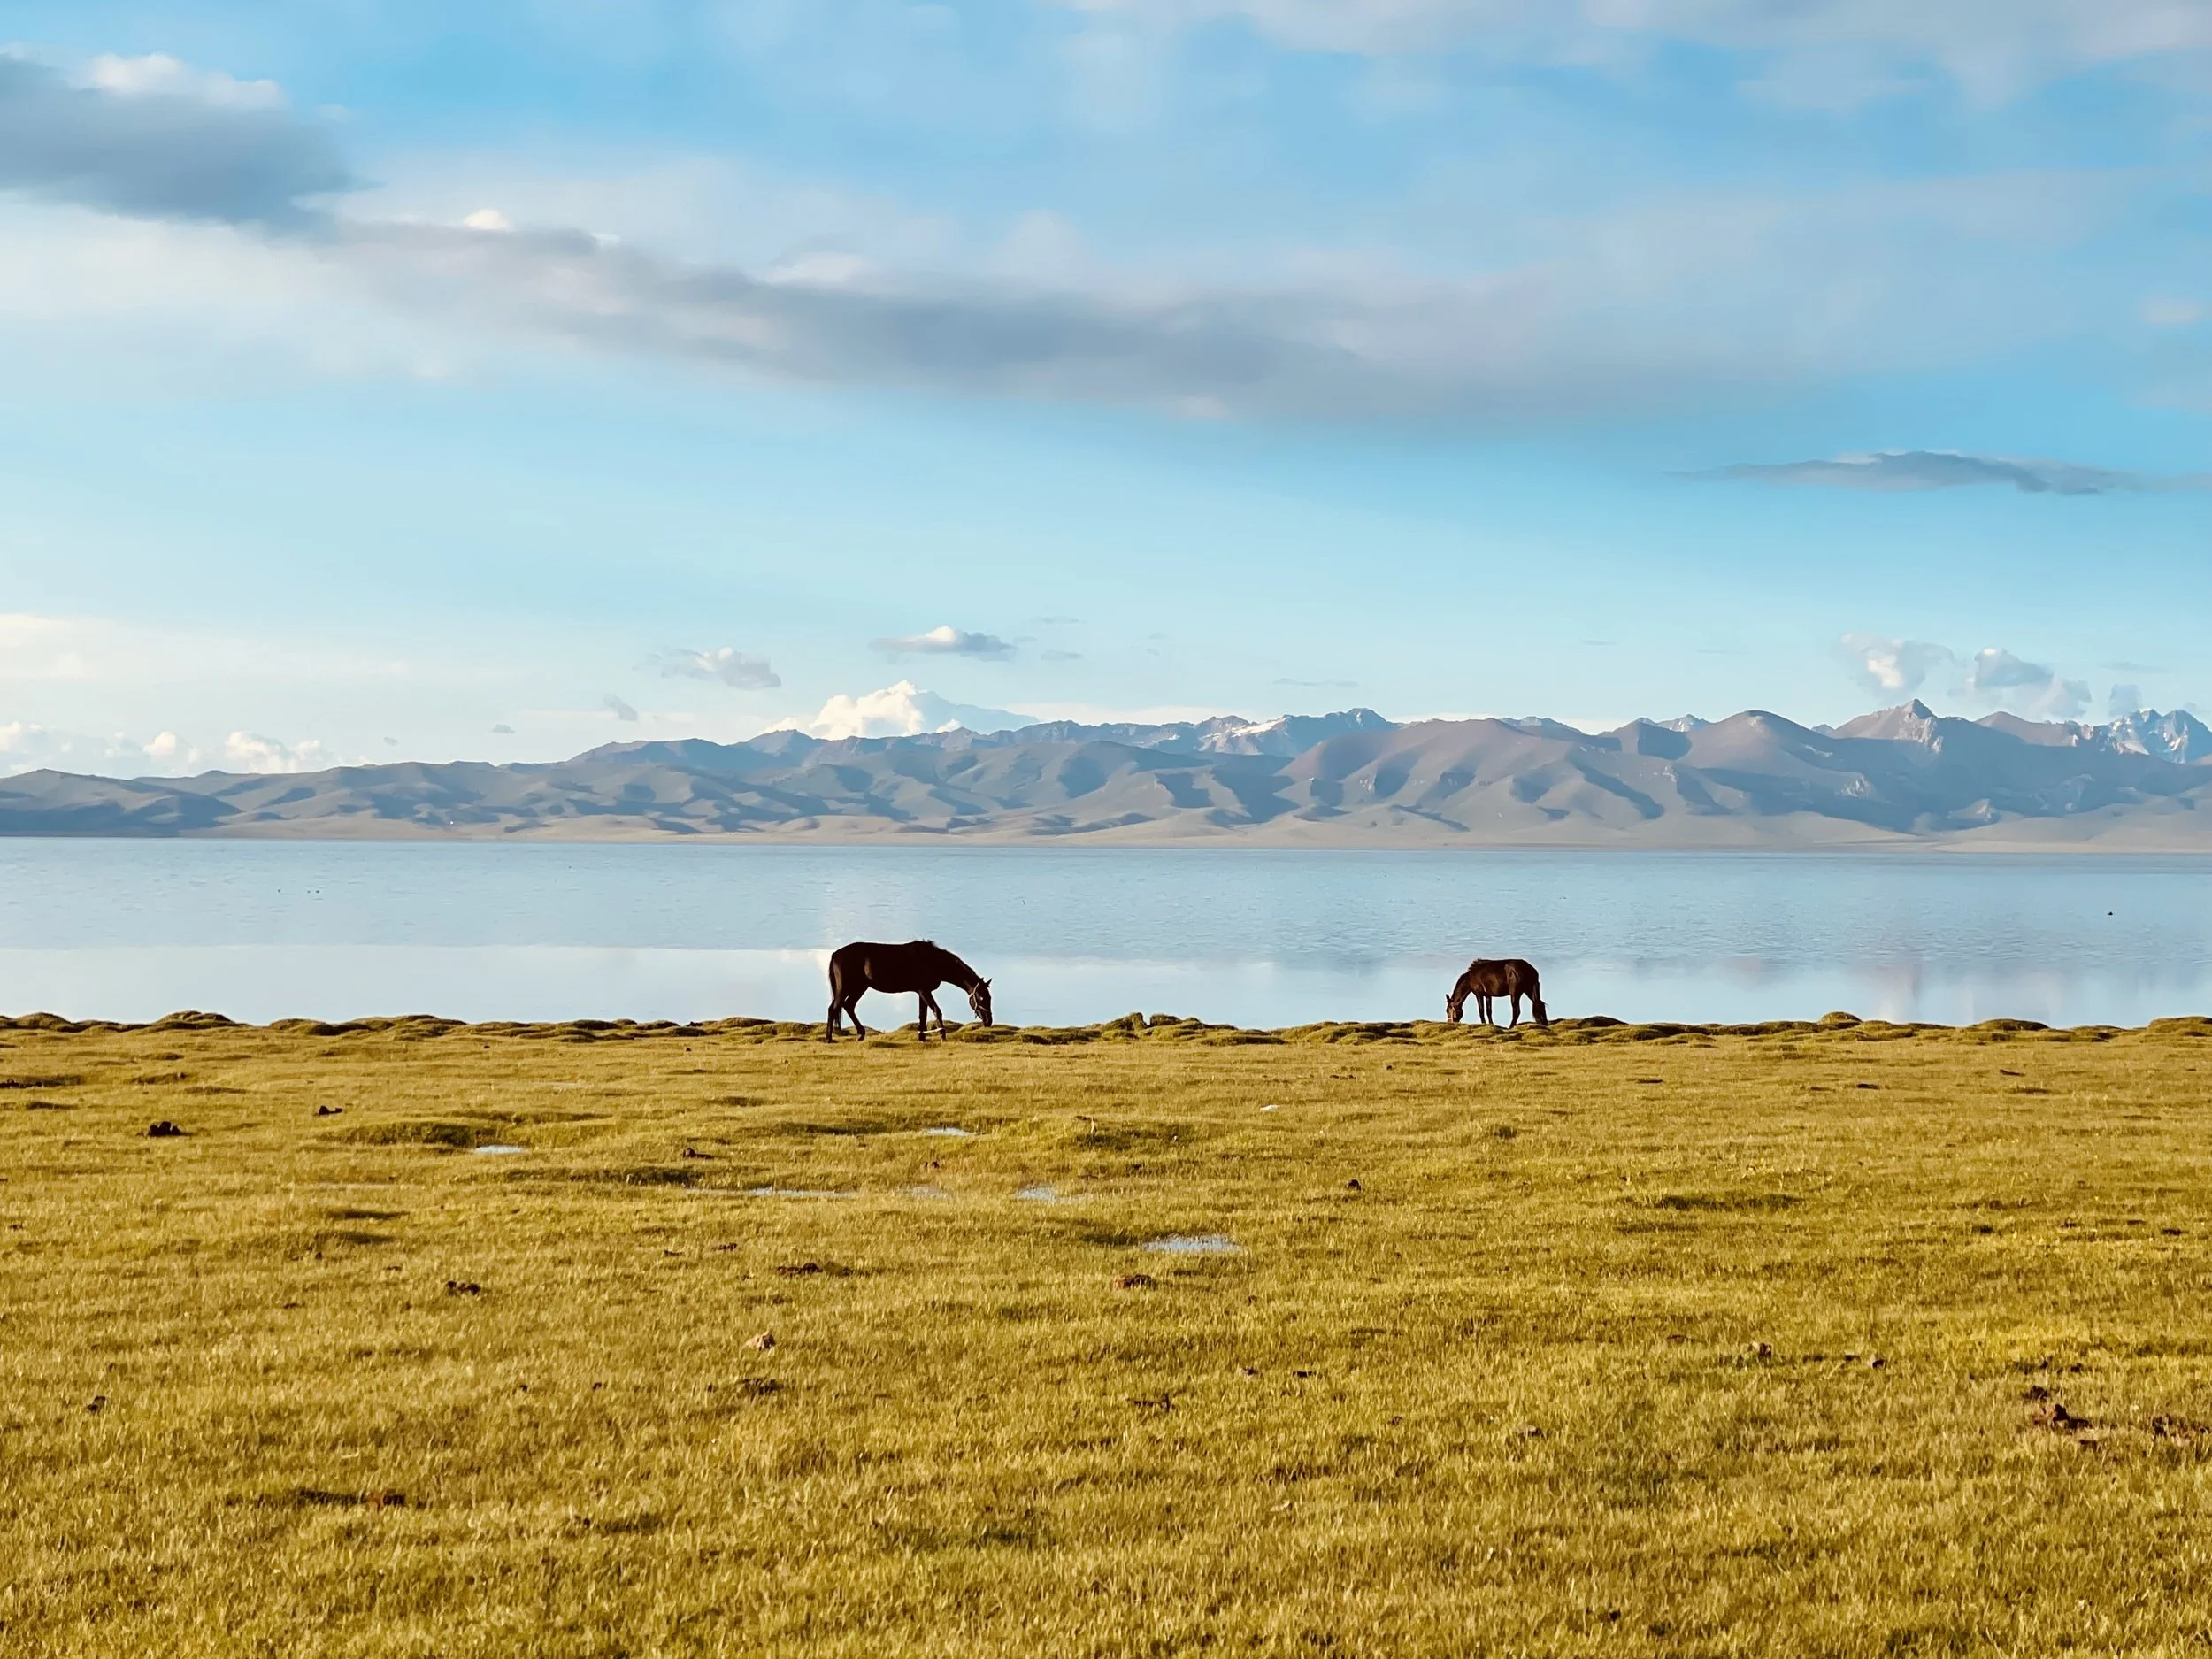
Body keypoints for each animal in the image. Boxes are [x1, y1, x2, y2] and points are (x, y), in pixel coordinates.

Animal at [824, 940, 994, 1042]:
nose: (988, 1021)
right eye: (982, 998)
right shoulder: (925, 991)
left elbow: (922, 1015)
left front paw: (922, 1037)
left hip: (860, 987)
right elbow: (936, 1011)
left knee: (848, 1006)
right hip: (845, 988)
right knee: (834, 1008)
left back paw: (861, 1034)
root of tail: (835, 954)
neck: (932, 960)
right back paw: (829, 1038)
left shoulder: (921, 992)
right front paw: (942, 1036)